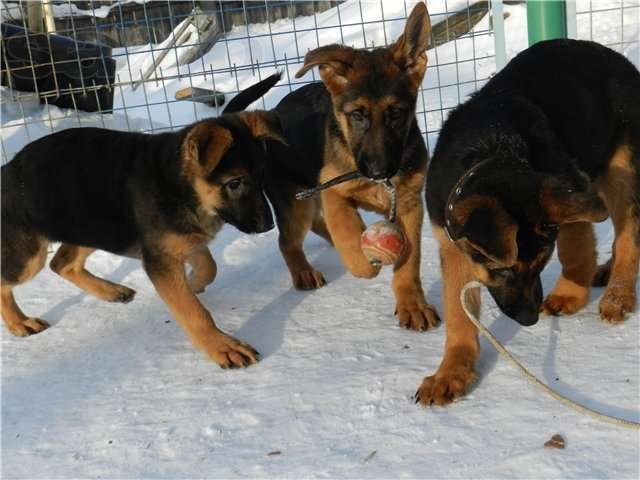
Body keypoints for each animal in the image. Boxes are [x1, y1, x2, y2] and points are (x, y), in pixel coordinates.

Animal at [0, 74, 284, 368]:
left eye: (262, 178)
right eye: (235, 183)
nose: (268, 226)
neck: (179, 184)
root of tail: (8, 168)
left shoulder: (180, 241)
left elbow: (209, 266)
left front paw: (193, 283)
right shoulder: (161, 256)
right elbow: (194, 311)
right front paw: (221, 346)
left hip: (96, 225)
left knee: (61, 262)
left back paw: (111, 291)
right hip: (30, 255)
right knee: (9, 280)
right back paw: (19, 323)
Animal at [418, 39, 636, 404]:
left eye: (540, 265)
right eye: (502, 270)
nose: (529, 320)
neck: (493, 148)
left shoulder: (568, 187)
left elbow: (575, 248)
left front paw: (570, 294)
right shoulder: (451, 246)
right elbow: (459, 315)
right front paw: (451, 373)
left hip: (621, 171)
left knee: (629, 235)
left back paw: (618, 295)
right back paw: (605, 272)